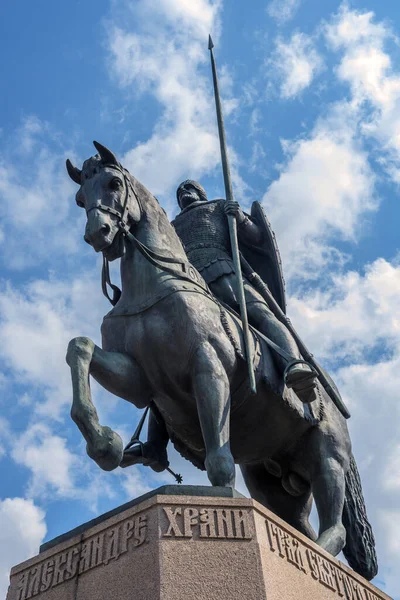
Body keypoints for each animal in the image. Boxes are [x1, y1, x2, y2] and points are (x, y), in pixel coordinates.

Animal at [65, 143, 378, 580]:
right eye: (80, 198)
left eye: (113, 183)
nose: (99, 234)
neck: (153, 284)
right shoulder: (140, 378)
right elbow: (79, 348)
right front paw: (104, 443)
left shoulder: (207, 367)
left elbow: (218, 460)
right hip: (272, 479)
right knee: (297, 523)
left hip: (327, 457)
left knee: (333, 529)